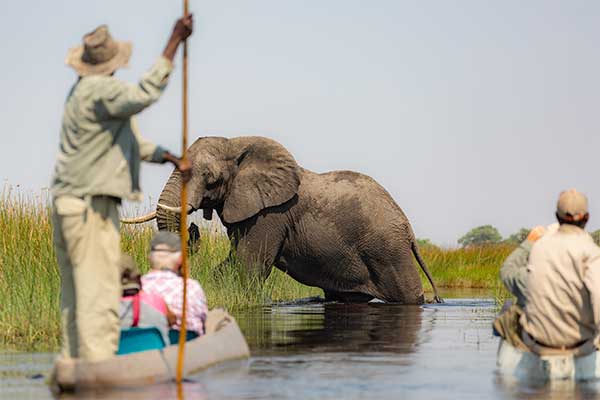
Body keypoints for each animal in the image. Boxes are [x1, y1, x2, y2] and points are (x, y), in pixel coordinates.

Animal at [123, 136, 440, 304]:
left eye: (209, 178)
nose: (193, 227)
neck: (237, 143)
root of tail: (408, 228)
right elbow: (231, 263)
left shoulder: (269, 215)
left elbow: (249, 266)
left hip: (388, 251)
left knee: (408, 296)